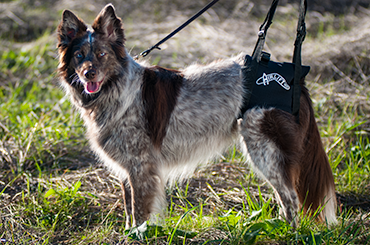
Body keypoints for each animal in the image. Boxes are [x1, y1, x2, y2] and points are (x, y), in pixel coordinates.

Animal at [56, 3, 336, 228]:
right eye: (79, 56)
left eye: (102, 54)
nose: (88, 74)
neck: (116, 89)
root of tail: (298, 79)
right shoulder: (128, 169)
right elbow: (129, 209)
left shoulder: (141, 167)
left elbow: (139, 213)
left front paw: (137, 235)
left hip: (265, 149)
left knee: (290, 198)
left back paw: (287, 231)